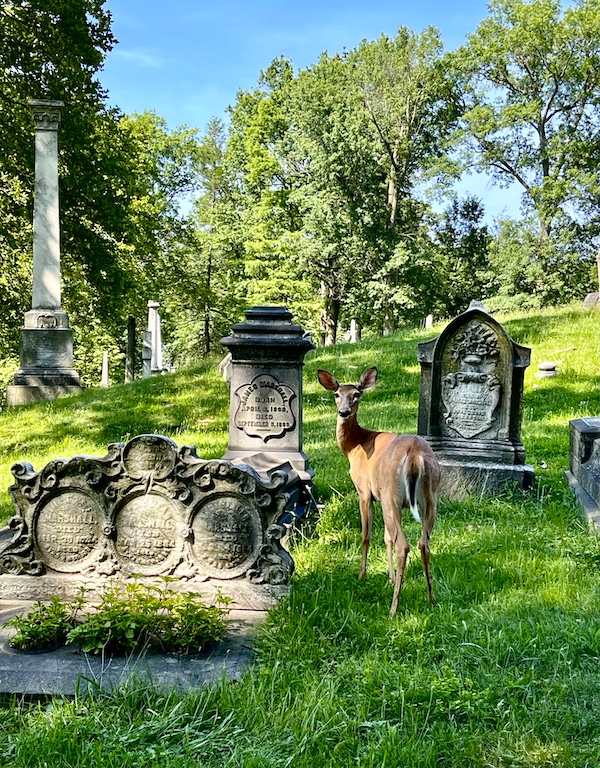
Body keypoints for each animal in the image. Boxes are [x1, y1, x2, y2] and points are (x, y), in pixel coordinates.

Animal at [317, 366, 440, 616]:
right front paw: (390, 578)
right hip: (429, 496)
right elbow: (386, 537)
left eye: (356, 394)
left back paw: (394, 608)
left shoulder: (365, 491)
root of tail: (415, 454)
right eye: (337, 394)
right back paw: (430, 597)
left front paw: (362, 574)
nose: (344, 412)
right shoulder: (382, 497)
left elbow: (367, 535)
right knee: (424, 542)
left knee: (404, 544)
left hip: (391, 495)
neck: (354, 446)